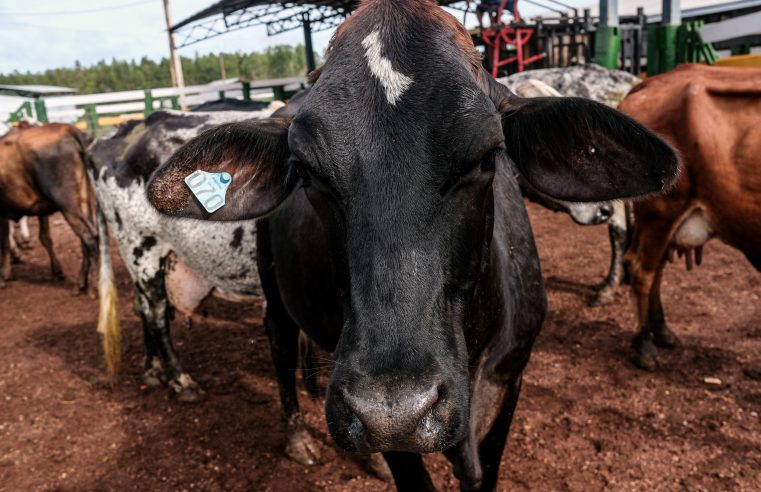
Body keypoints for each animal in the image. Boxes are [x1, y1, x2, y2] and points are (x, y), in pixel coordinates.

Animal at [0, 124, 98, 292]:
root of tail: (68, 129)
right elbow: (44, 237)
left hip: (67, 202)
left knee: (89, 236)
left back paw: (97, 286)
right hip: (84, 199)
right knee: (87, 236)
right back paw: (82, 282)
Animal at [147, 0, 676, 488]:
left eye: (487, 156)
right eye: (309, 171)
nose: (394, 410)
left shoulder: (510, 383)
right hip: (272, 286)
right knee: (279, 341)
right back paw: (298, 435)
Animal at [620, 63, 760, 368]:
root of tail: (651, 83)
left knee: (656, 268)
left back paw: (661, 331)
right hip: (661, 210)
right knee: (642, 268)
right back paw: (644, 345)